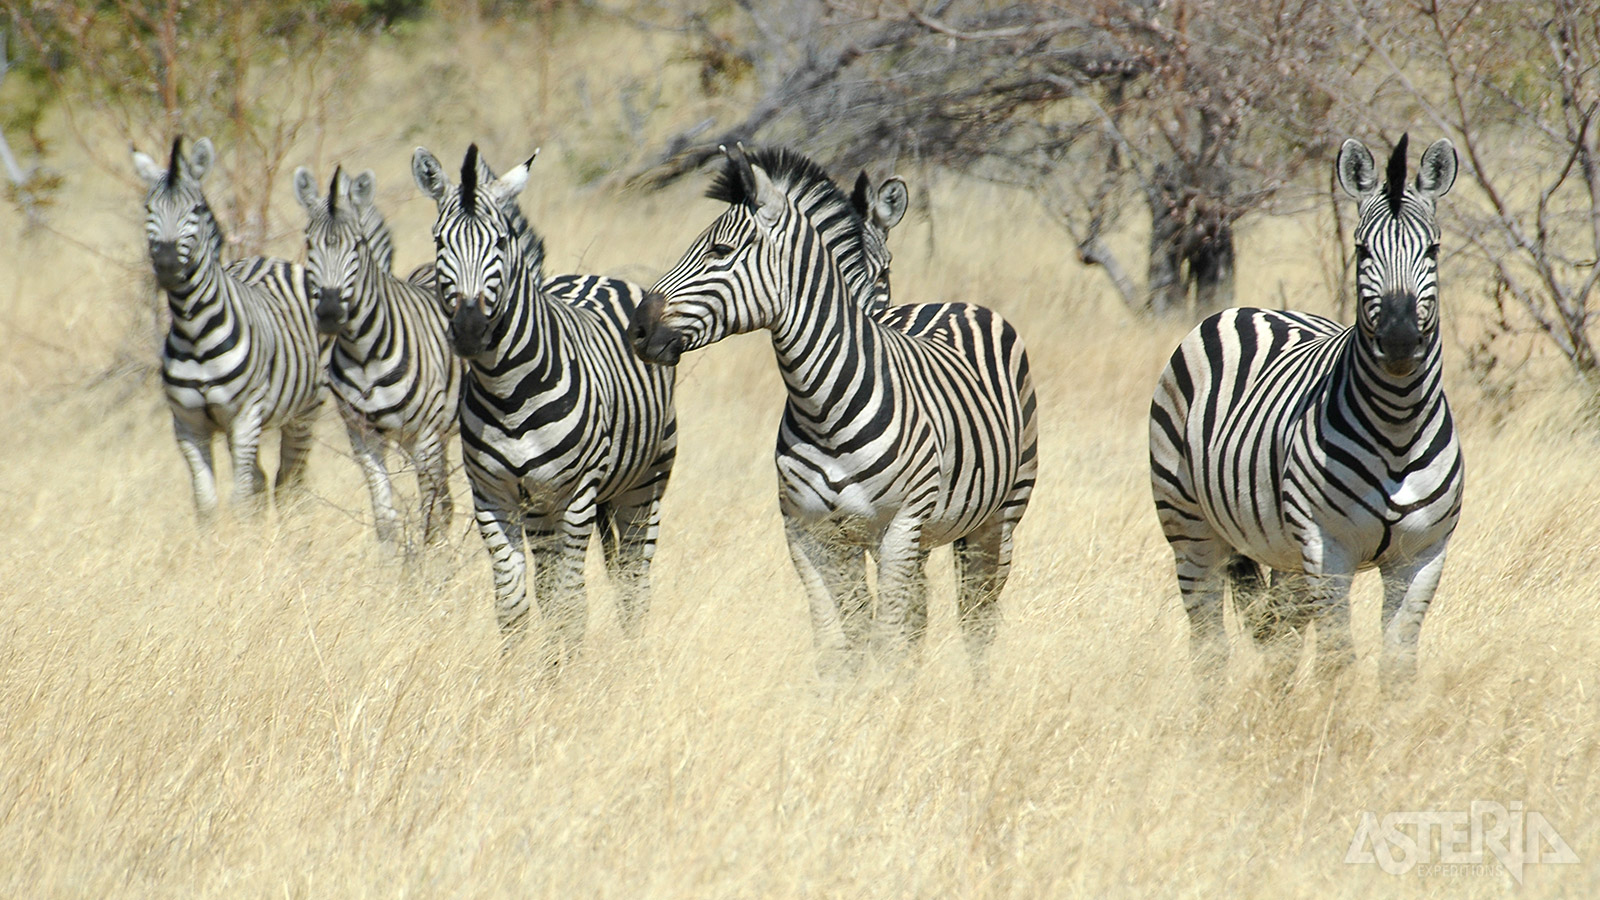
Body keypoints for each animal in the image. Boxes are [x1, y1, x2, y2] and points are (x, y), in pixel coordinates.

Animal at [134, 136, 328, 522]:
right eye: (149, 209)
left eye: (195, 210)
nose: (166, 266)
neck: (194, 329)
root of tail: (270, 259)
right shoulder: (188, 425)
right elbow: (206, 503)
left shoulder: (245, 415)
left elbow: (239, 499)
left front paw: (242, 540)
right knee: (264, 480)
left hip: (304, 412)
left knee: (289, 482)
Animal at [296, 164, 467, 550]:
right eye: (309, 243)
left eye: (357, 245)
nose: (329, 313)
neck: (363, 354)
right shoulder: (363, 437)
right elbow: (385, 520)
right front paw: (393, 564)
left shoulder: (425, 435)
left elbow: (429, 517)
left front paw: (430, 566)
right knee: (446, 501)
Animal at [409, 140, 678, 659]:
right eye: (438, 242)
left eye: (500, 242)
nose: (469, 331)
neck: (507, 389)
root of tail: (592, 276)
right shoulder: (493, 498)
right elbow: (515, 606)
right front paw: (524, 676)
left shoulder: (575, 496)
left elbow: (572, 607)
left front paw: (566, 677)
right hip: (542, 510)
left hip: (645, 484)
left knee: (635, 584)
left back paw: (636, 659)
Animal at [630, 143, 1043, 675]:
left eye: (720, 252)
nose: (637, 328)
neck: (824, 407)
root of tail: (953, 303)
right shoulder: (808, 535)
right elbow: (837, 647)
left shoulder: (898, 528)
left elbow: (885, 642)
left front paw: (885, 700)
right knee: (923, 619)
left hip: (1000, 517)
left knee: (978, 622)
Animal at [1152, 134, 1465, 695]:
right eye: (1362, 250)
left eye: (1432, 250)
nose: (1400, 339)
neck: (1398, 427)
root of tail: (1251, 308)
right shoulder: (1326, 546)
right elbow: (1339, 658)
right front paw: (1335, 719)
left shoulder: (1423, 554)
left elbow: (1397, 663)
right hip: (1188, 526)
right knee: (1210, 644)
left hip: (1280, 550)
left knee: (1280, 638)